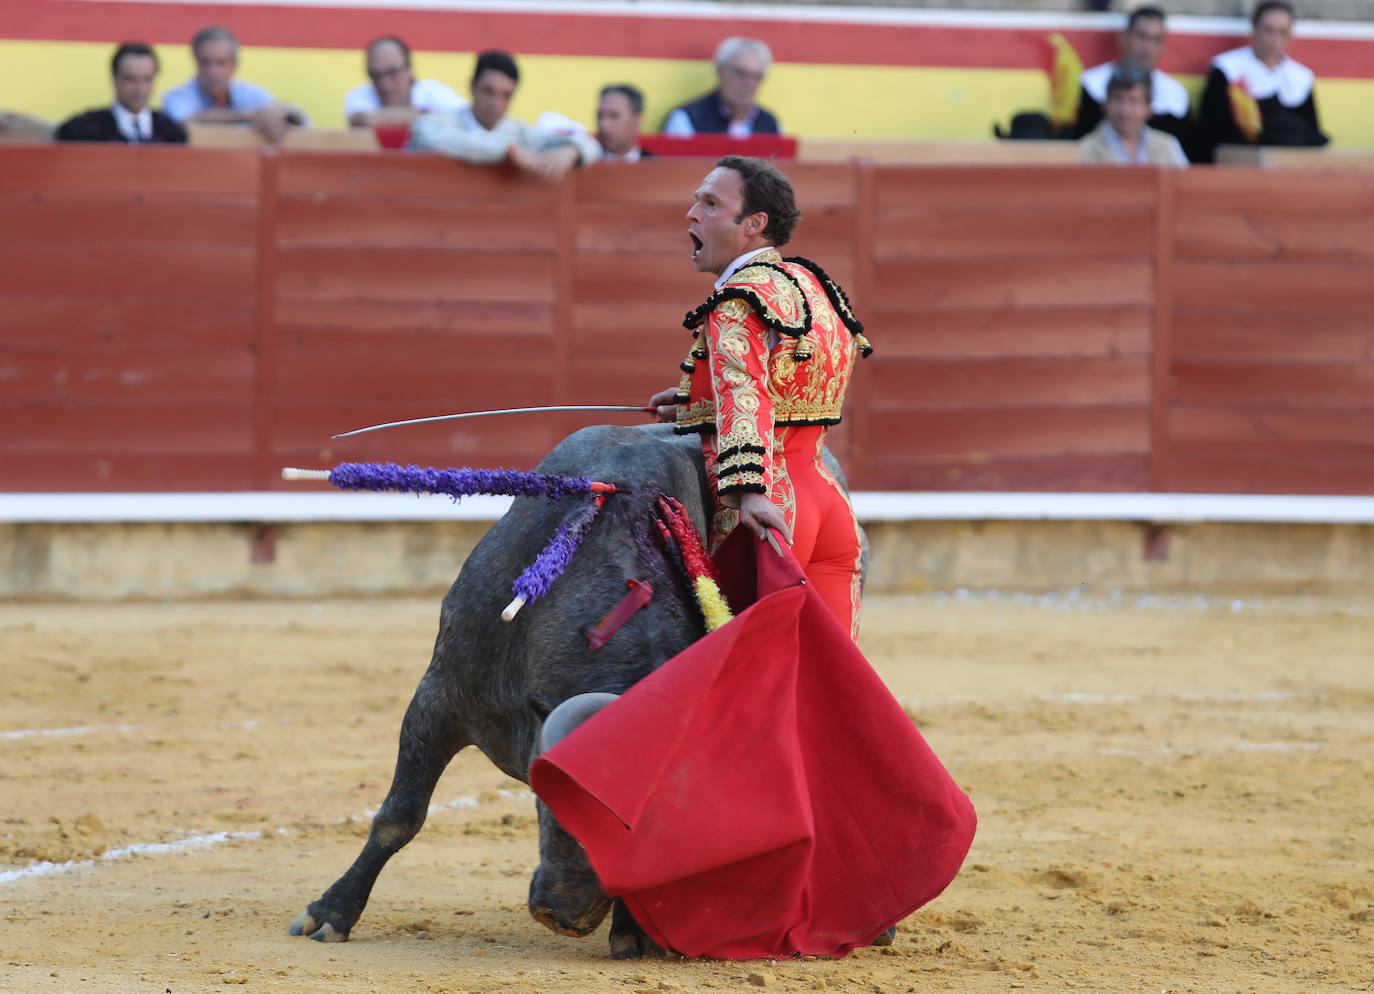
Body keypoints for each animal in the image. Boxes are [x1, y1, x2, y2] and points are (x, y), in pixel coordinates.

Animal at [289, 423, 862, 962]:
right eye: (558, 793)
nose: (565, 915)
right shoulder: (440, 697)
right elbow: (399, 817)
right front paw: (330, 914)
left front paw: (633, 930)